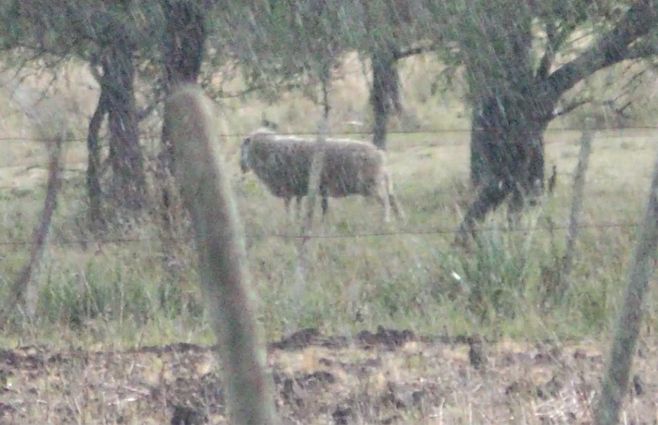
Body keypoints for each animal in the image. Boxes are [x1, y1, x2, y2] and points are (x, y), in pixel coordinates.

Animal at [239, 128, 404, 222]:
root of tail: (379, 154)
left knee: (386, 202)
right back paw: (400, 220)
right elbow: (302, 207)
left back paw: (386, 221)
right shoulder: (301, 190)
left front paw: (290, 222)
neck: (269, 152)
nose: (241, 167)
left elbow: (289, 208)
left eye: (242, 150)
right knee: (393, 200)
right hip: (380, 183)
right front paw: (299, 221)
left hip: (372, 185)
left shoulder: (289, 189)